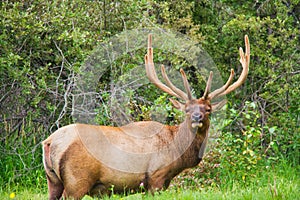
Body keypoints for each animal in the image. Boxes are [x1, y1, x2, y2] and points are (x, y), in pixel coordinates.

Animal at [41, 34, 248, 198]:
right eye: (187, 109)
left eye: (208, 109)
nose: (197, 118)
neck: (177, 148)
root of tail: (50, 142)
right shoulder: (156, 176)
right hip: (77, 180)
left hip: (53, 180)